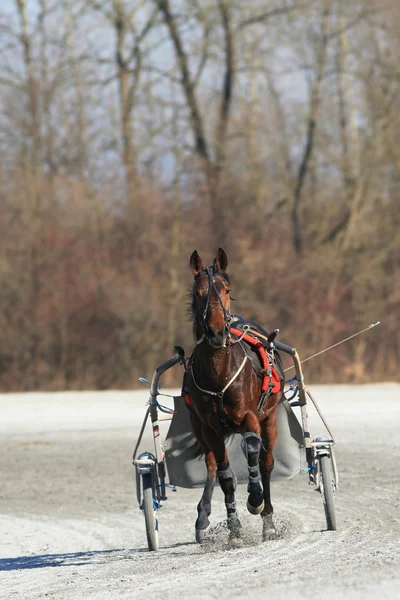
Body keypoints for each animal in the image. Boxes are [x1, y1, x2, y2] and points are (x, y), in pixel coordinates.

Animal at [184, 248, 284, 544]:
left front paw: (255, 499)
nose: (217, 332)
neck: (220, 371)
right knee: (212, 466)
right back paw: (204, 517)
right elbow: (225, 476)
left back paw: (268, 521)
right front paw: (234, 529)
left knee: (265, 462)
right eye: (199, 292)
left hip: (269, 418)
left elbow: (252, 448)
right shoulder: (211, 428)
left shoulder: (250, 416)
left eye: (226, 290)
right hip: (199, 427)